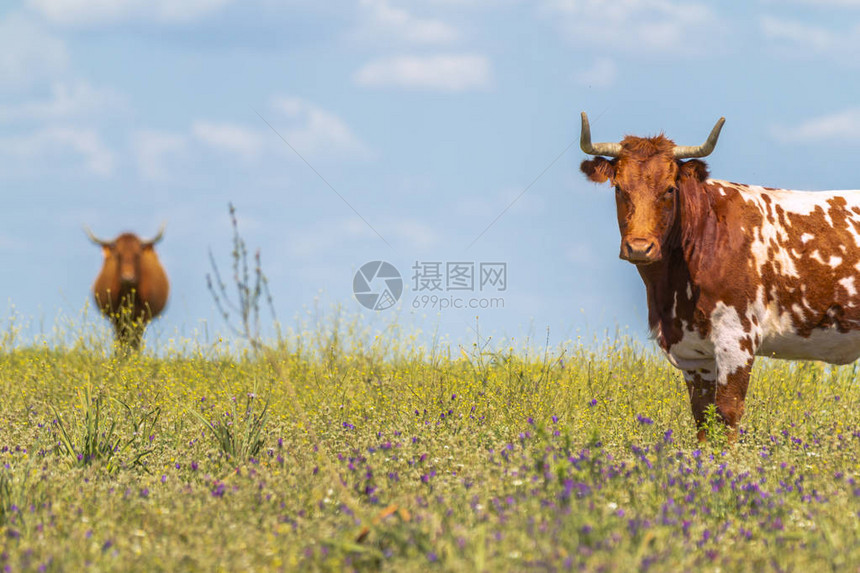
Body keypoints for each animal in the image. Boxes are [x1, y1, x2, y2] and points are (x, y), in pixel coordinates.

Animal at [576, 111, 860, 440]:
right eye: (619, 188)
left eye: (669, 189)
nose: (639, 247)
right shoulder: (694, 355)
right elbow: (703, 419)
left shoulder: (736, 339)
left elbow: (727, 415)